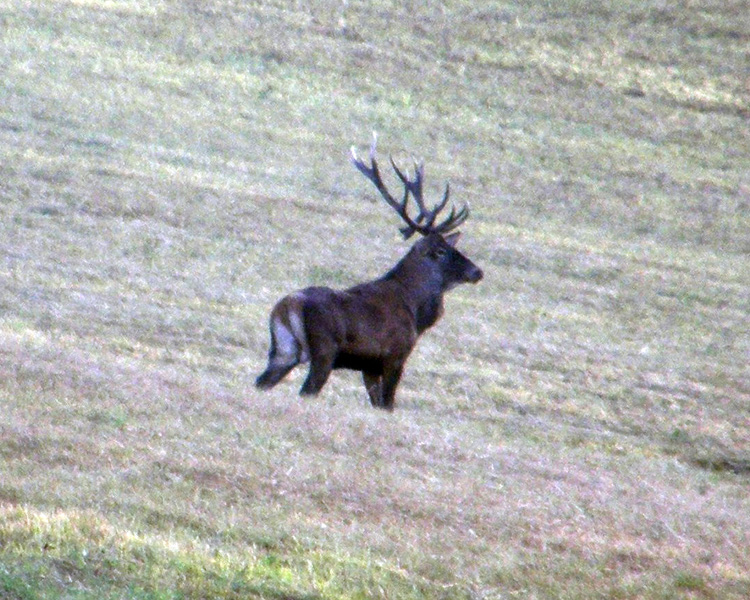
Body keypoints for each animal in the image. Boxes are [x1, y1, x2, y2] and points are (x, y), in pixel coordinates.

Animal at [256, 135, 484, 408]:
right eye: (441, 251)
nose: (477, 271)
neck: (416, 312)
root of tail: (286, 307)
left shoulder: (369, 368)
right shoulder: (395, 355)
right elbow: (388, 405)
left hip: (283, 351)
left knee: (261, 383)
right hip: (323, 350)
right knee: (307, 390)